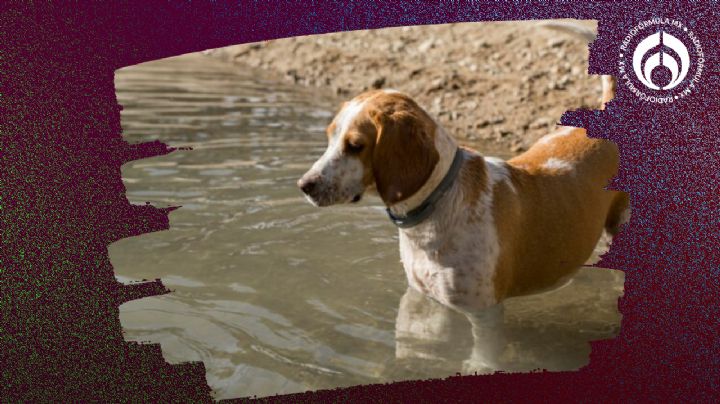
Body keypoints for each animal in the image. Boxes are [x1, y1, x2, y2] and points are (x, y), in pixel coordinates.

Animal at [296, 23, 628, 314]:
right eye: (330, 136)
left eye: (355, 145)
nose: (304, 185)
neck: (437, 203)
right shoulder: (425, 298)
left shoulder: (483, 313)